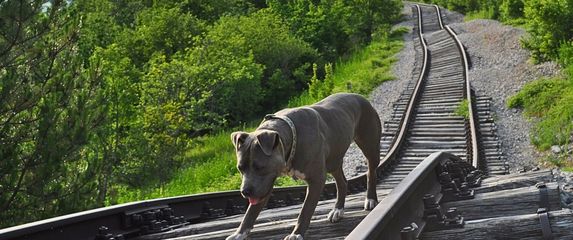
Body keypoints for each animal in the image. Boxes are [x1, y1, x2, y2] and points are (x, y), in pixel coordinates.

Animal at [225, 93, 380, 239]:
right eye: (240, 168)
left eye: (260, 167)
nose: (245, 192)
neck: (291, 137)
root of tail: (359, 97)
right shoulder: (265, 184)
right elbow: (251, 211)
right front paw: (239, 233)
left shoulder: (316, 180)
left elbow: (306, 209)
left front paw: (296, 234)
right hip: (333, 160)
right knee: (342, 182)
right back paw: (338, 210)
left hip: (370, 147)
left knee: (371, 172)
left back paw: (370, 199)